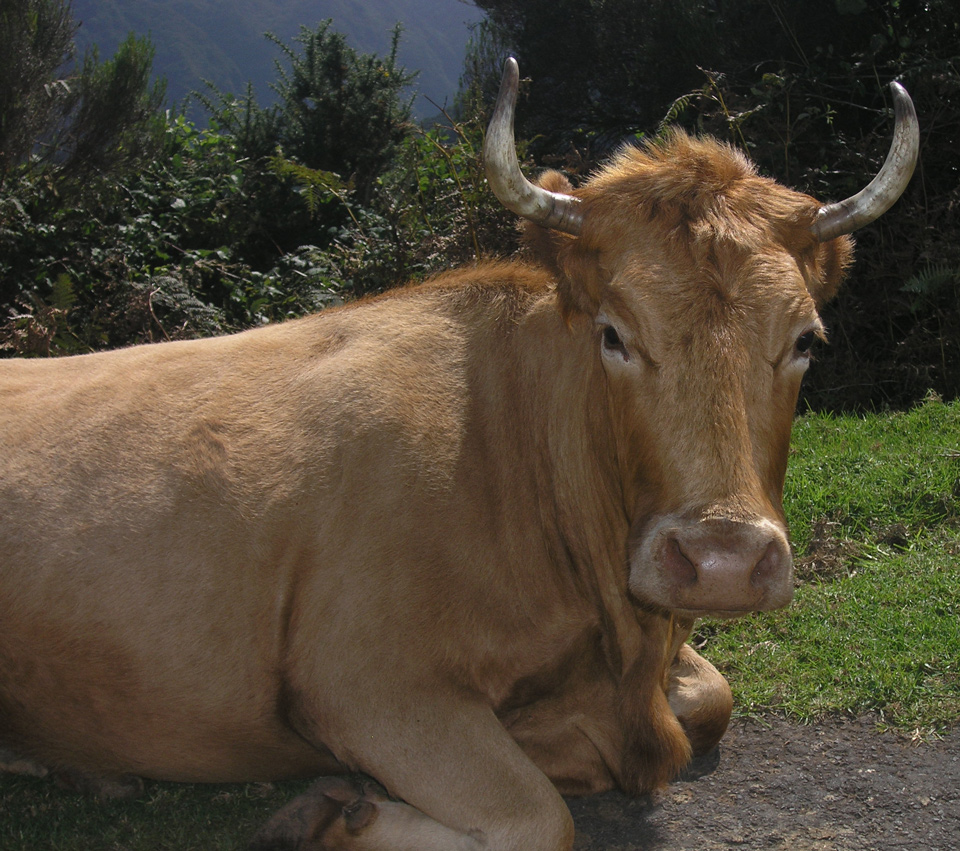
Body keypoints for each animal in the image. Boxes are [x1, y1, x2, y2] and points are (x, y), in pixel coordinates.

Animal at [0, 61, 916, 851]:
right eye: (614, 334)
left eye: (806, 340)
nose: (722, 561)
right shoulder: (367, 681)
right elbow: (536, 818)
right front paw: (332, 811)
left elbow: (712, 701)